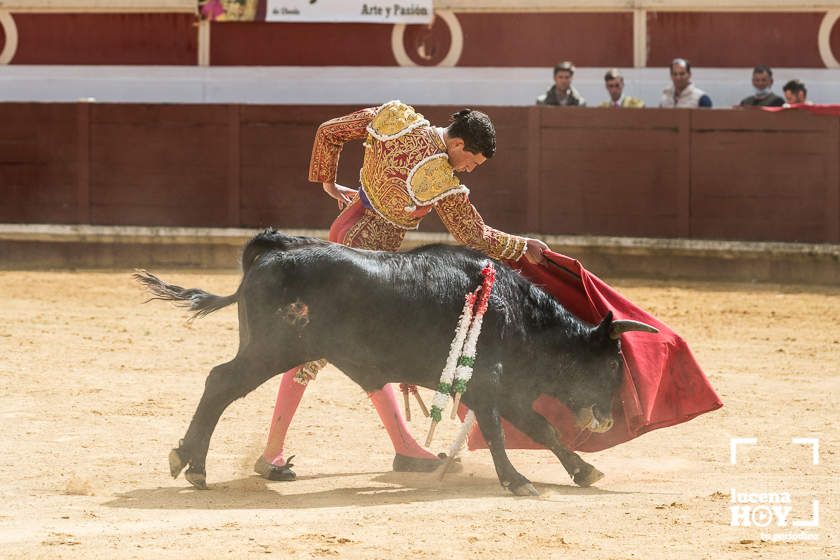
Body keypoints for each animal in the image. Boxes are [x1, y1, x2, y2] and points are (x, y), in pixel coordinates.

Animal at [136, 230, 656, 496]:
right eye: (613, 365)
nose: (608, 420)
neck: (516, 312)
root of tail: (270, 256)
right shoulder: (487, 386)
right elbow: (498, 433)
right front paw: (518, 482)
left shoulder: (506, 390)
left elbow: (543, 430)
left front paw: (583, 471)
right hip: (270, 349)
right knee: (220, 382)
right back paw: (193, 464)